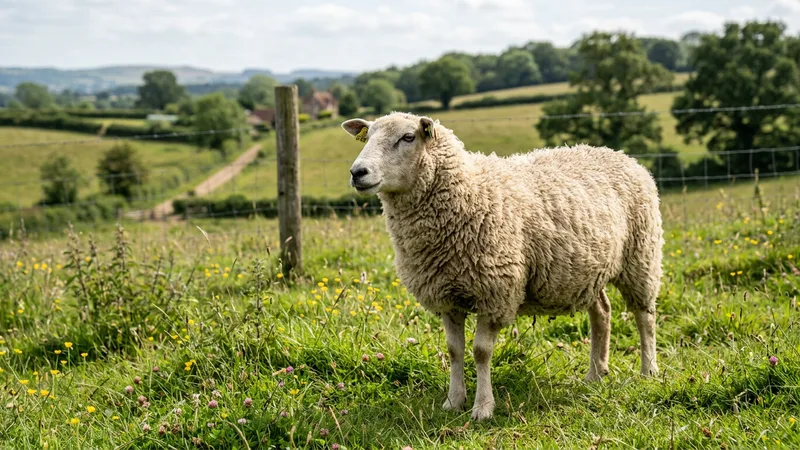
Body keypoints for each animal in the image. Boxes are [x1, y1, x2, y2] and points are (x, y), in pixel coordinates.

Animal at [340, 111, 664, 421]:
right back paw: (595, 374)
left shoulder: (495, 292)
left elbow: (481, 352)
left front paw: (483, 407)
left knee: (644, 317)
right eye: (367, 136)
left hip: (641, 256)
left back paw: (649, 371)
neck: (468, 193)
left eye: (408, 137)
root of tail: (618, 153)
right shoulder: (447, 296)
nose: (357, 172)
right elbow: (454, 351)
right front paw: (453, 402)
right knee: (602, 313)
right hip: (585, 271)